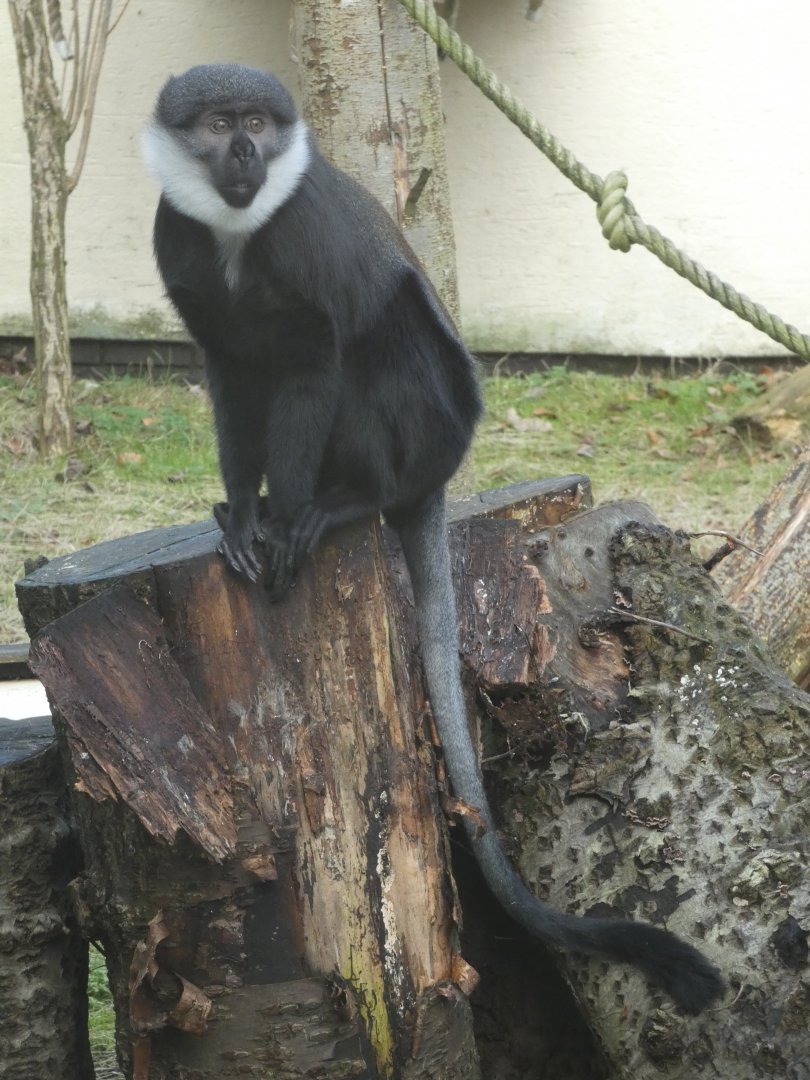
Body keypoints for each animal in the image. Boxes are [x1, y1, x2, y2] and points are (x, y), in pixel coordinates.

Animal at [142, 64, 723, 1013]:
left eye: (259, 123)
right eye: (223, 124)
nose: (246, 154)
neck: (238, 228)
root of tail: (435, 481)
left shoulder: (305, 251)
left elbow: (314, 354)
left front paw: (285, 524)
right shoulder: (184, 258)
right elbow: (231, 371)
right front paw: (242, 517)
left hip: (428, 426)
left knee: (385, 323)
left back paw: (346, 505)